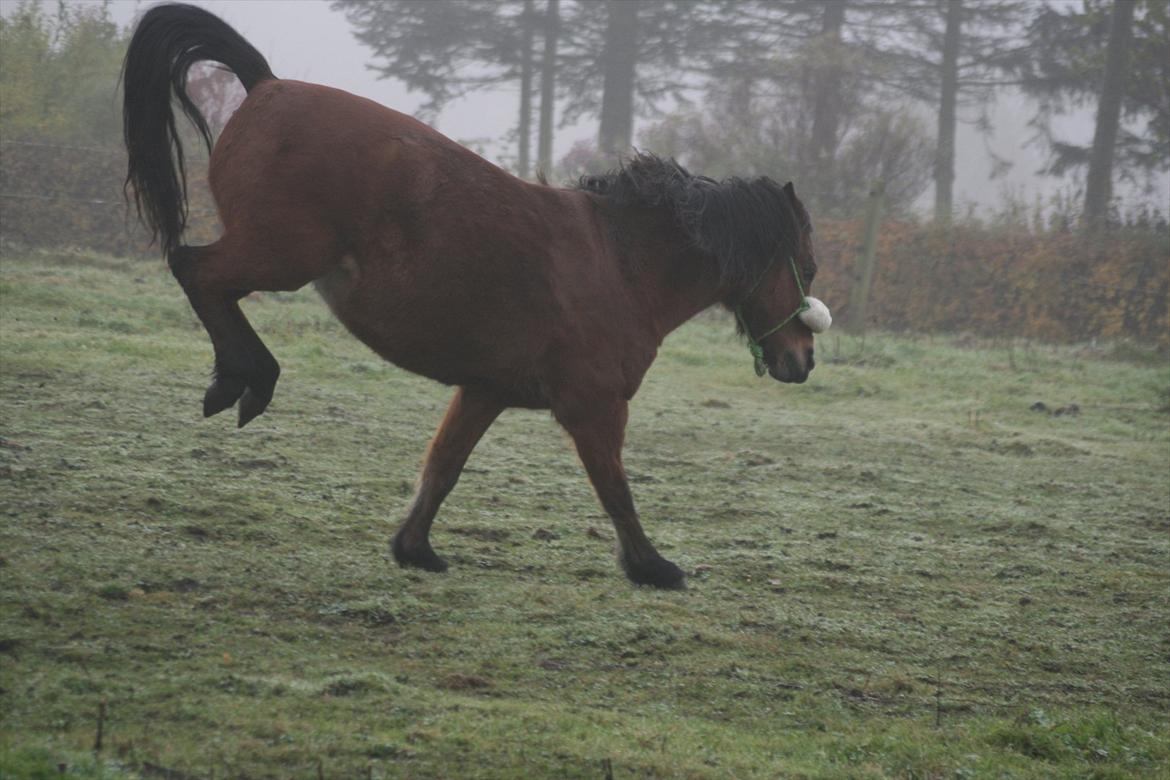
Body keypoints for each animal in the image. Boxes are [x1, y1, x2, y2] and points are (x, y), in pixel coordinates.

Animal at [122, 3, 823, 590]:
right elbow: (616, 490)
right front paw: (653, 568)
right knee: (196, 272)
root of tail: (266, 83)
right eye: (809, 270)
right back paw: (245, 379)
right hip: (281, 255)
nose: (803, 360)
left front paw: (414, 549)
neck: (620, 266)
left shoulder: (486, 390)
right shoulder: (593, 407)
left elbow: (444, 466)